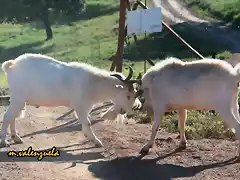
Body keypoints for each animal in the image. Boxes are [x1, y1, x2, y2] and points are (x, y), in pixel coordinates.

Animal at [0, 52, 140, 147]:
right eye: (128, 96)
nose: (134, 107)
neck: (92, 82)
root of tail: (11, 65)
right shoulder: (80, 105)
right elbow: (87, 122)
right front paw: (96, 141)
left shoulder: (86, 106)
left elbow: (85, 122)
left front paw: (88, 136)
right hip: (18, 97)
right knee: (7, 116)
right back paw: (4, 141)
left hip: (20, 100)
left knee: (13, 116)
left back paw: (16, 137)